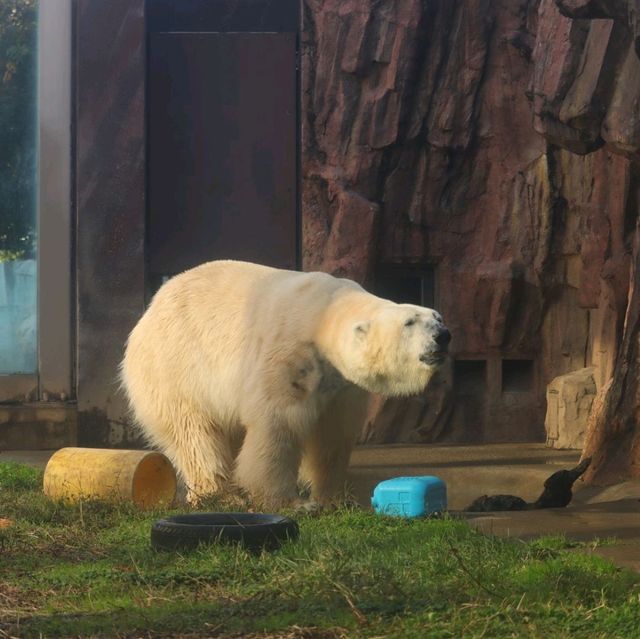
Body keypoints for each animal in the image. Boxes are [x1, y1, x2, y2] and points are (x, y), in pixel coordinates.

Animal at [120, 258, 450, 504]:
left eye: (437, 316)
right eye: (409, 322)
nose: (443, 336)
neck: (325, 313)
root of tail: (150, 310)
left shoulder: (340, 386)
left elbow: (332, 433)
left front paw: (332, 497)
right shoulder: (289, 351)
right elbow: (278, 422)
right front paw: (282, 500)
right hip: (176, 368)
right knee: (194, 433)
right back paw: (218, 494)